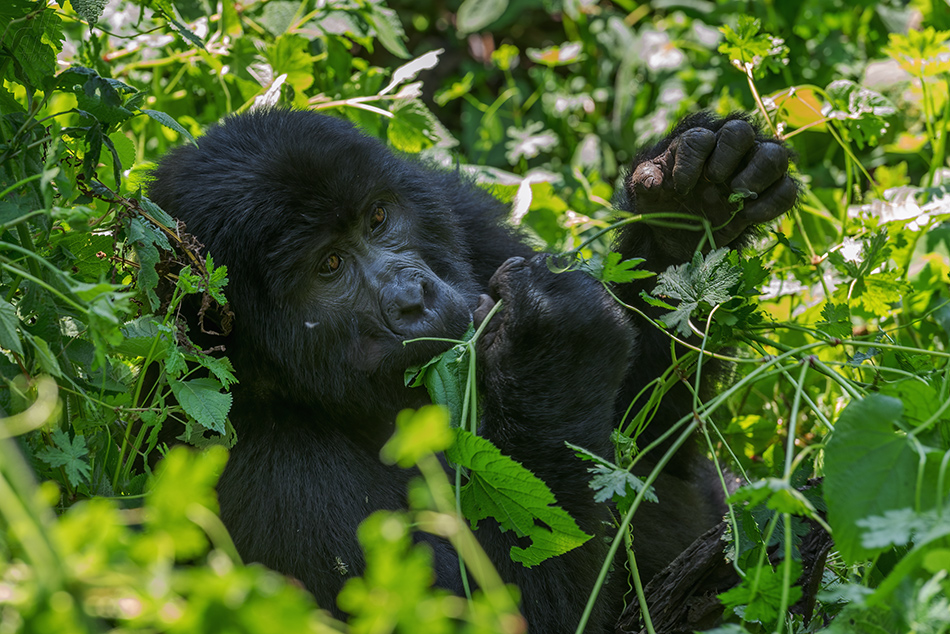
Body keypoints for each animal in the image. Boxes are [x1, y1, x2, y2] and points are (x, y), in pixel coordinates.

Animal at [152, 106, 800, 628]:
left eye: (378, 218)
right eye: (329, 266)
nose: (414, 297)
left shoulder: (456, 210)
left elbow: (649, 447)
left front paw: (687, 206)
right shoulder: (263, 467)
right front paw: (555, 351)